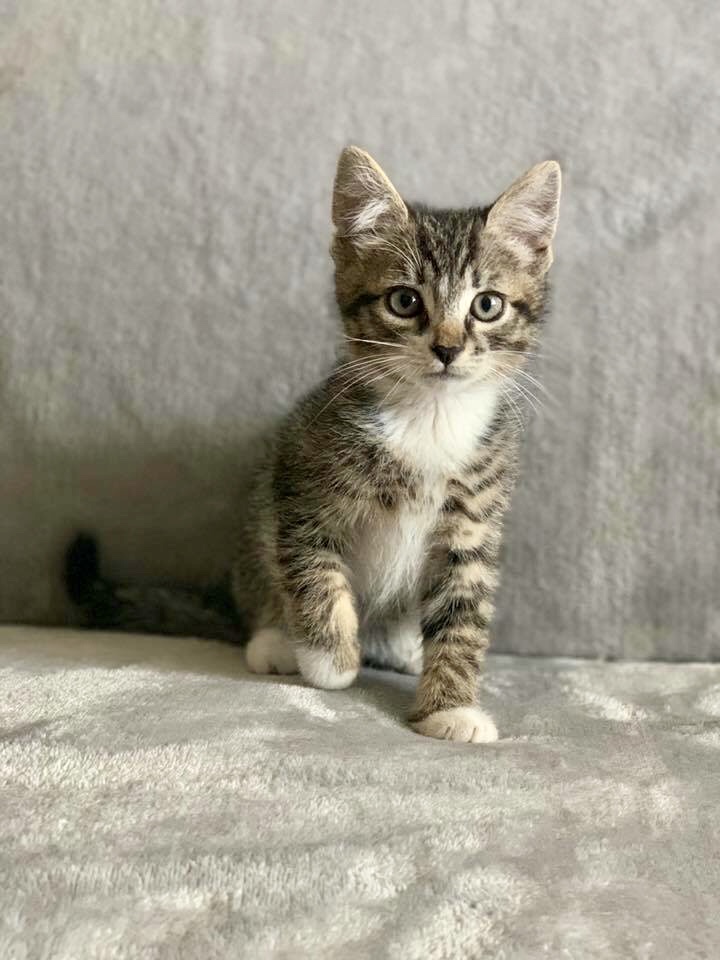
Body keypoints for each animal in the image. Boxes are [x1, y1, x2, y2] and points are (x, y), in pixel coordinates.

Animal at [65, 146, 561, 742]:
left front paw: (449, 708)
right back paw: (277, 640)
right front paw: (330, 660)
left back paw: (402, 646)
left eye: (487, 306)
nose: (446, 349)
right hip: (257, 521)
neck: (429, 418)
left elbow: (462, 618)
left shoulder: (473, 522)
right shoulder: (299, 484)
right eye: (404, 301)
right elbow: (314, 572)